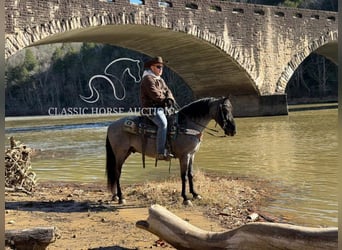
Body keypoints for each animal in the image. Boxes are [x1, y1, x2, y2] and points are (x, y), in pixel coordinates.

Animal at [106, 96, 235, 204]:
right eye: (224, 110)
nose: (233, 130)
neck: (187, 126)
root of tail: (111, 126)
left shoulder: (192, 155)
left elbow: (191, 174)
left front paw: (195, 194)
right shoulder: (184, 156)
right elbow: (184, 176)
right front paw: (185, 198)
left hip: (126, 152)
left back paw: (116, 196)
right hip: (120, 153)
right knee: (117, 173)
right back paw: (121, 197)